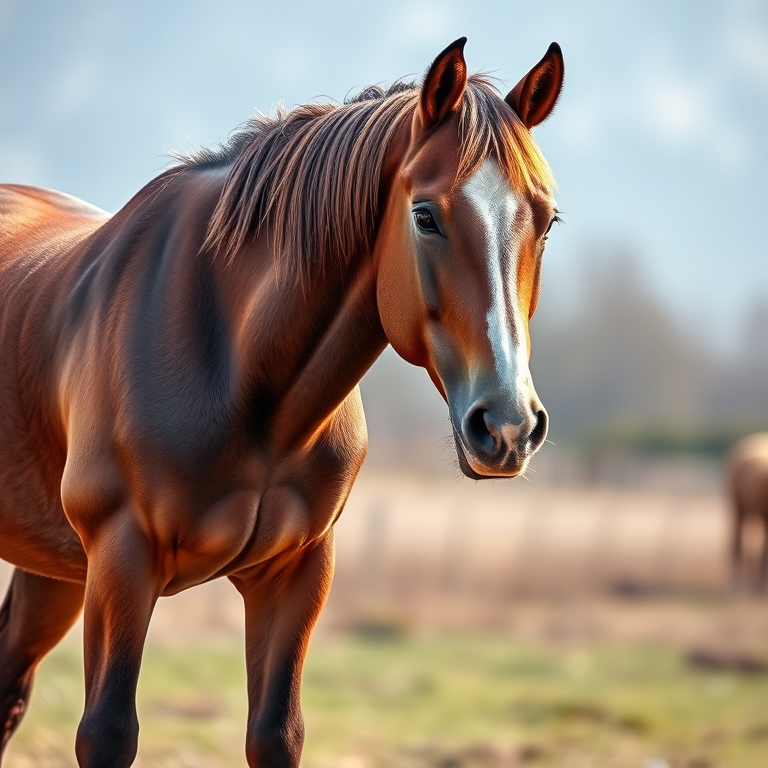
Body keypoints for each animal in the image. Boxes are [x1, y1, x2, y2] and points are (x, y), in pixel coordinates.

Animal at [0, 38, 564, 766]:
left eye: (546, 221)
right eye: (425, 215)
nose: (508, 426)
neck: (244, 374)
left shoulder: (297, 573)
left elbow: (276, 734)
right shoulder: (122, 562)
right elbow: (107, 733)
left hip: (54, 566)